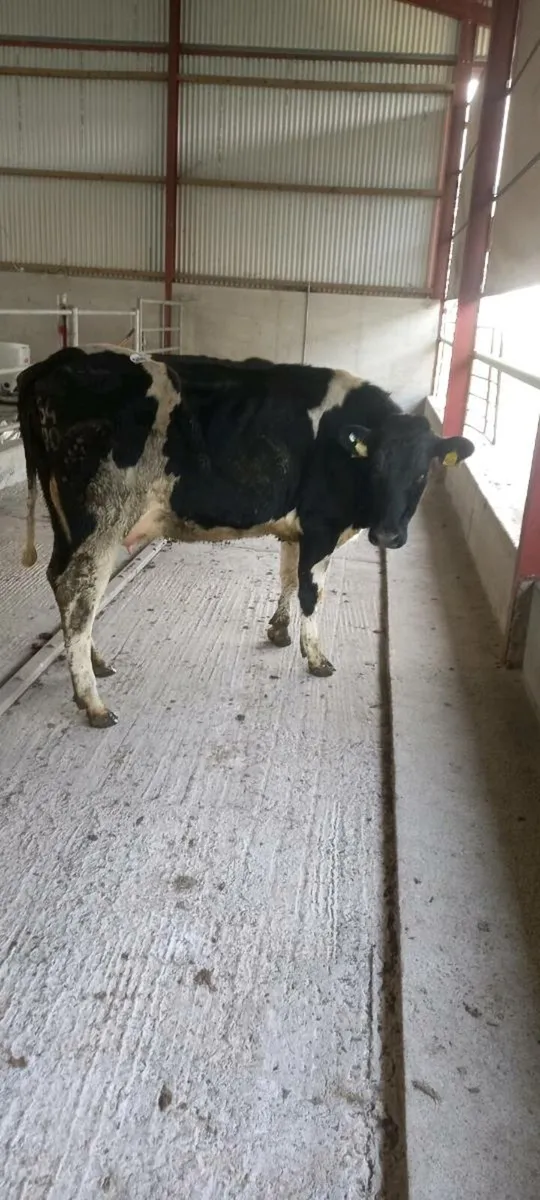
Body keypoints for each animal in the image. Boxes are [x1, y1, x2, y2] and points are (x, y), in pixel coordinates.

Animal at [16, 346, 474, 728]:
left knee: (63, 584)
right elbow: (312, 591)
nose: (388, 534)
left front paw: (279, 631)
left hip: (70, 524)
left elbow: (288, 577)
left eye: (422, 473)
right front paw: (316, 657)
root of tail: (62, 360)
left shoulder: (298, 530)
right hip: (101, 521)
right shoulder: (322, 525)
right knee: (79, 593)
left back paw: (94, 662)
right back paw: (93, 701)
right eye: (376, 466)